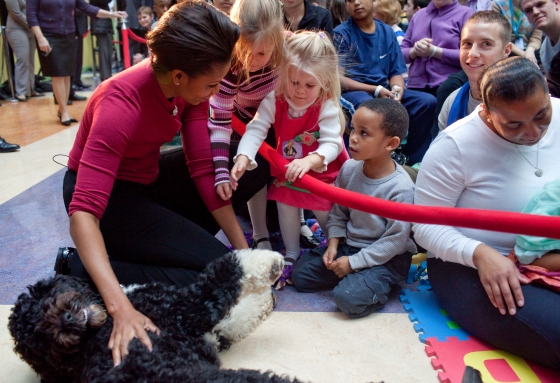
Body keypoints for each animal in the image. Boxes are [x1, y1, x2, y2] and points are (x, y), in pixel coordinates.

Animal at [7, 250, 306, 382]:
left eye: (44, 298)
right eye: (41, 337)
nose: (65, 320)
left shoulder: (207, 335)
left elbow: (236, 320)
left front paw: (264, 301)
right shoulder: (186, 308)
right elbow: (225, 271)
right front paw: (270, 263)